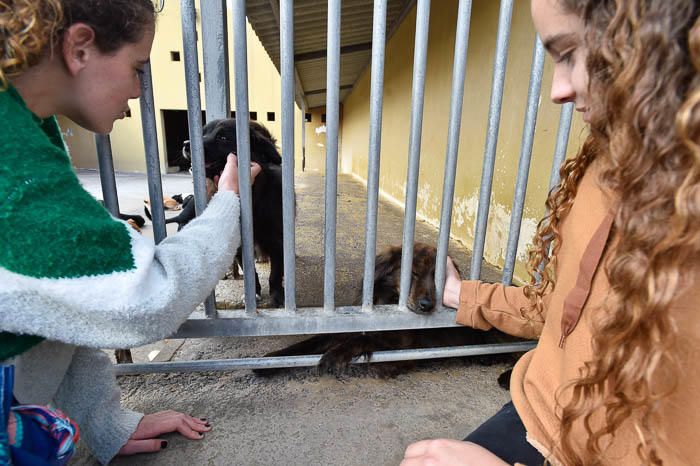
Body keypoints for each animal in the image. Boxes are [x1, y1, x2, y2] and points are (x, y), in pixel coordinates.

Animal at [185, 119, 288, 306]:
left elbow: (275, 275)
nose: (186, 144)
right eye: (202, 133)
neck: (253, 199)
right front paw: (253, 294)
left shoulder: (277, 241)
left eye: (223, 137)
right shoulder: (240, 244)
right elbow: (250, 271)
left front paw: (277, 296)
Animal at [258, 242, 520, 384]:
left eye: (439, 278)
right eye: (413, 273)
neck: (389, 301)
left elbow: (362, 340)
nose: (427, 305)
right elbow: (309, 342)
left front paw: (334, 356)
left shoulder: (404, 349)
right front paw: (270, 361)